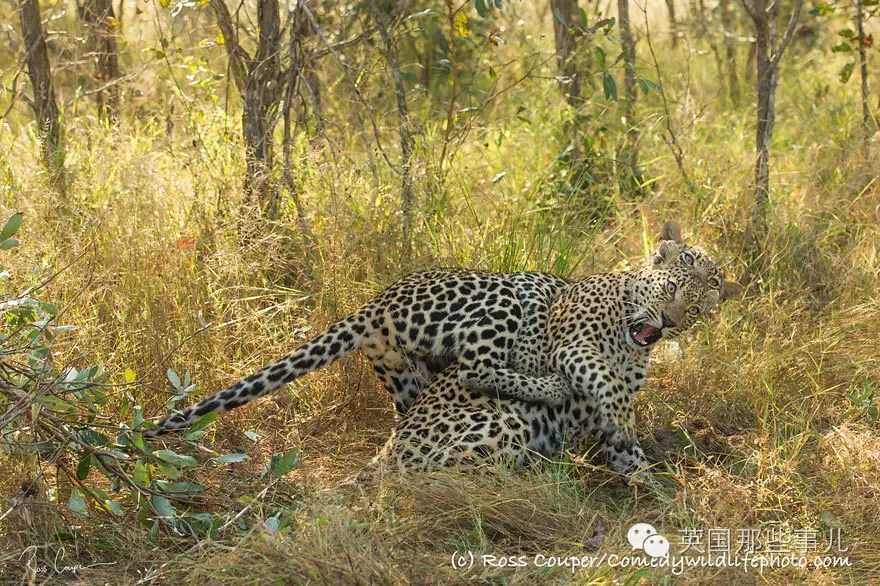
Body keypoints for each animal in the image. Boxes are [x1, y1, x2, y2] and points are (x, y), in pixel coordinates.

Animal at [143, 220, 728, 438]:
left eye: (696, 313)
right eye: (673, 293)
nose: (670, 324)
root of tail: (376, 304)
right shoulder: (565, 330)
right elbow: (594, 377)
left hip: (405, 375)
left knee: (433, 396)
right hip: (499, 300)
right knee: (478, 371)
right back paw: (550, 388)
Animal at [384, 262, 736, 476]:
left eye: (693, 311)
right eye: (670, 289)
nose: (668, 321)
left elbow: (632, 458)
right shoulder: (573, 347)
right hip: (505, 424)